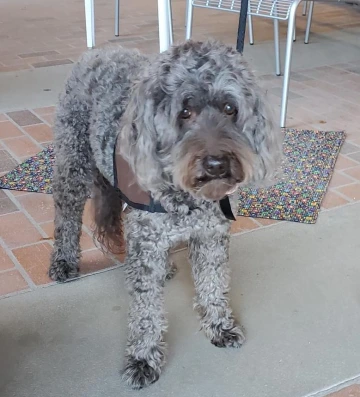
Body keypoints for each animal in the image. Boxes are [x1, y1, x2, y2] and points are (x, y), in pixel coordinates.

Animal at [48, 39, 282, 386]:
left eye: (230, 108)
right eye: (185, 112)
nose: (217, 164)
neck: (188, 196)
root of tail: (99, 50)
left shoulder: (211, 236)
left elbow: (213, 283)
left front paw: (219, 325)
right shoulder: (147, 241)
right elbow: (146, 309)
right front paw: (143, 357)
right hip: (73, 163)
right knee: (67, 214)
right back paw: (64, 261)